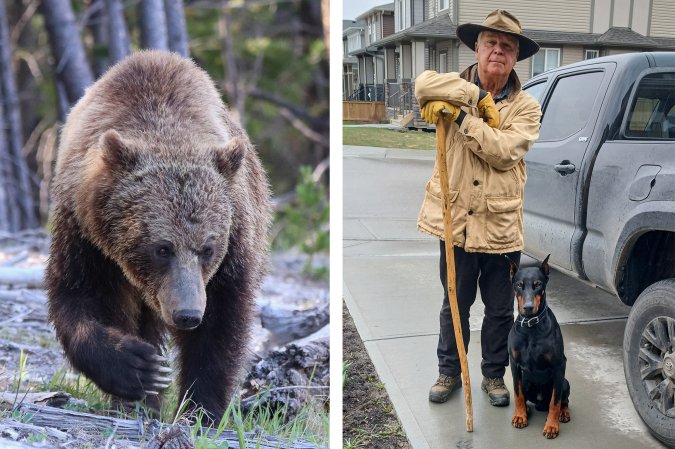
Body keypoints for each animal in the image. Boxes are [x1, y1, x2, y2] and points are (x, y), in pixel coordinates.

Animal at [45, 50, 274, 418]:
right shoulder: (84, 234)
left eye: (208, 248)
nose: (188, 314)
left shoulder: (235, 238)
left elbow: (221, 324)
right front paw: (139, 368)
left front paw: (200, 408)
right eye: (162, 248)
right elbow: (79, 297)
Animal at [508, 256, 572, 438]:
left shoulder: (559, 365)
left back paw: (563, 413)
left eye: (538, 285)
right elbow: (517, 393)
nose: (528, 307)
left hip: (565, 382)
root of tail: (539, 404)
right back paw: (527, 410)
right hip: (526, 380)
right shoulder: (514, 363)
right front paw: (520, 416)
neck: (531, 327)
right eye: (519, 285)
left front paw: (551, 425)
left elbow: (555, 401)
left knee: (563, 399)